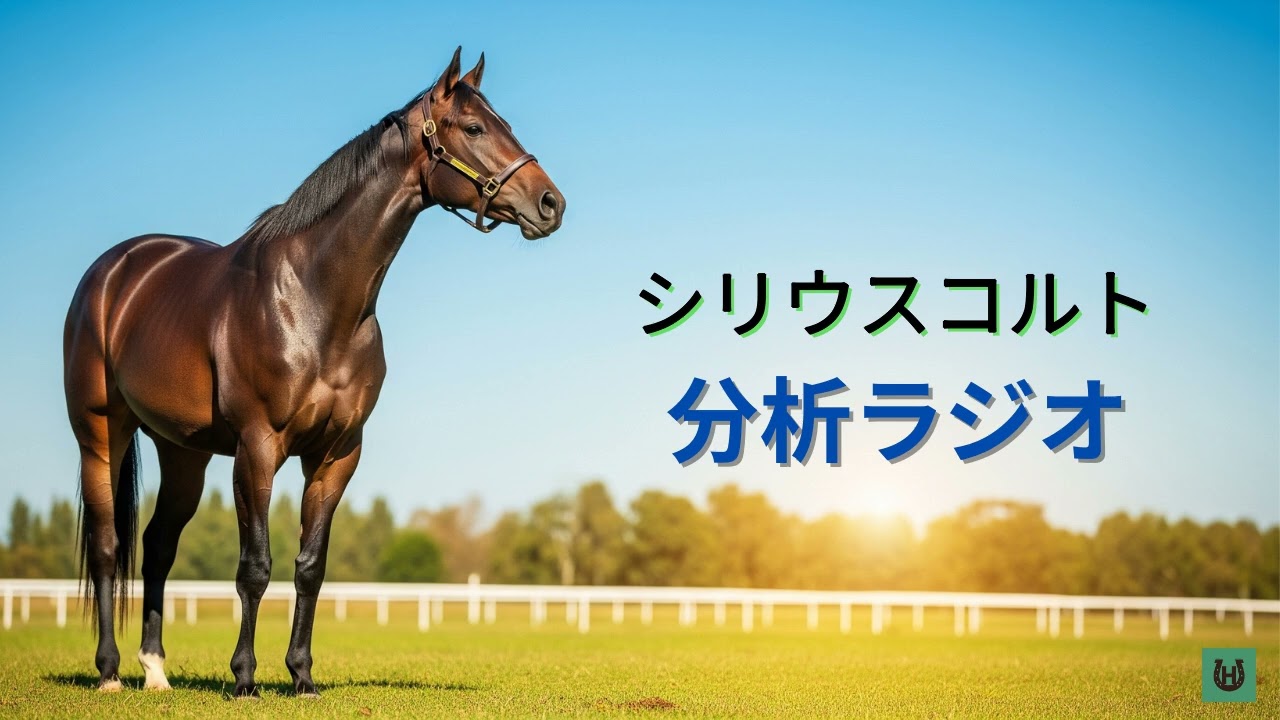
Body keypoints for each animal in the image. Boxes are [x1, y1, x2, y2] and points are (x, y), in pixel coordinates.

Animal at [62, 47, 564, 698]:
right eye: (475, 128)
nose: (551, 203)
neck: (315, 299)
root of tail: (113, 271)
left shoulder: (336, 455)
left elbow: (310, 567)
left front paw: (301, 675)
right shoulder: (257, 449)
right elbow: (255, 568)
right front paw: (245, 677)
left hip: (184, 453)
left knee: (157, 547)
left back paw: (155, 670)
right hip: (101, 434)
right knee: (107, 547)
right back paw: (109, 672)